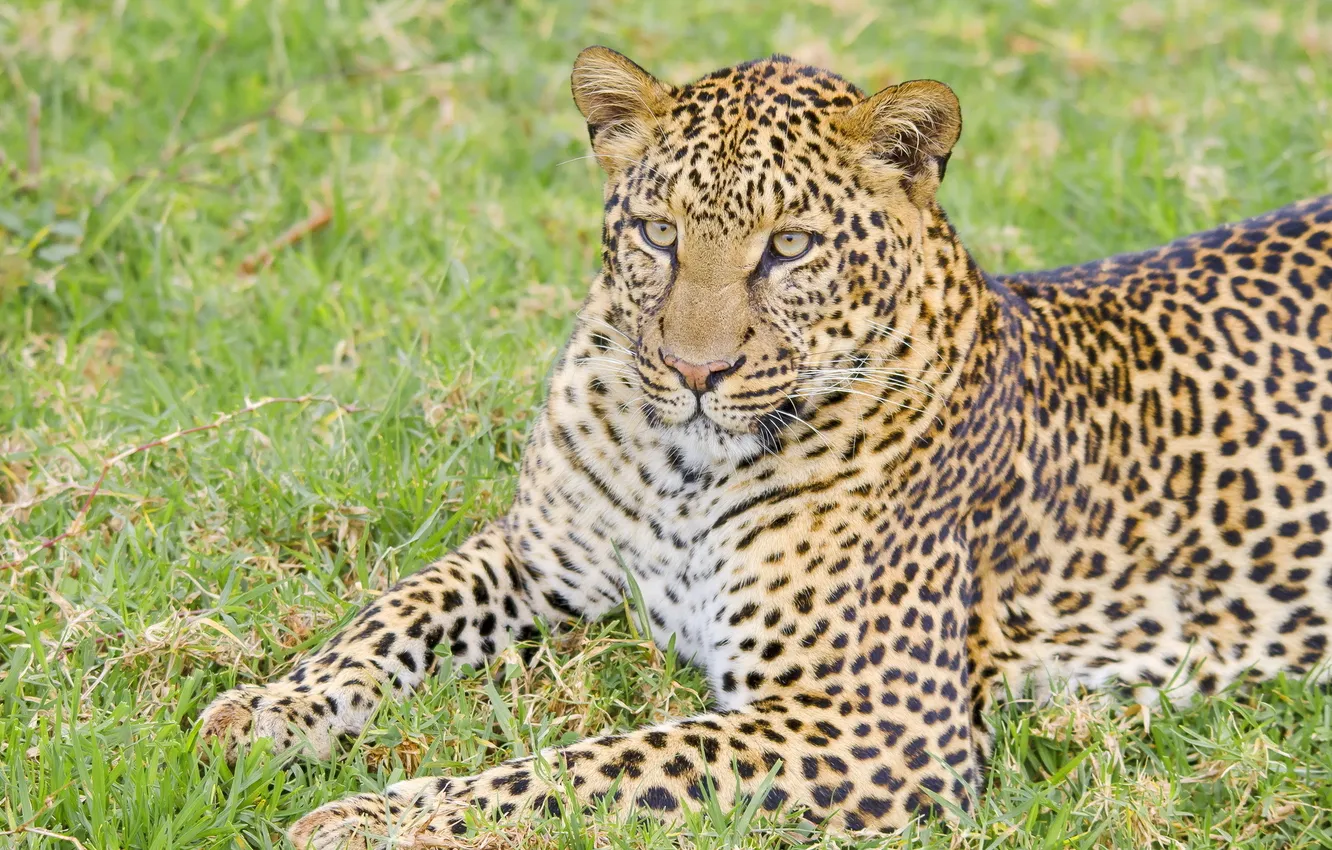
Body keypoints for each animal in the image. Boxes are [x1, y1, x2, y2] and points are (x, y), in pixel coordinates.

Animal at [197, 47, 1332, 848]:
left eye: (789, 247)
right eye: (658, 234)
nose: (696, 370)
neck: (683, 471)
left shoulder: (878, 723)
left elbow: (601, 765)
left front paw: (377, 816)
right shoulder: (538, 550)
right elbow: (387, 618)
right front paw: (263, 712)